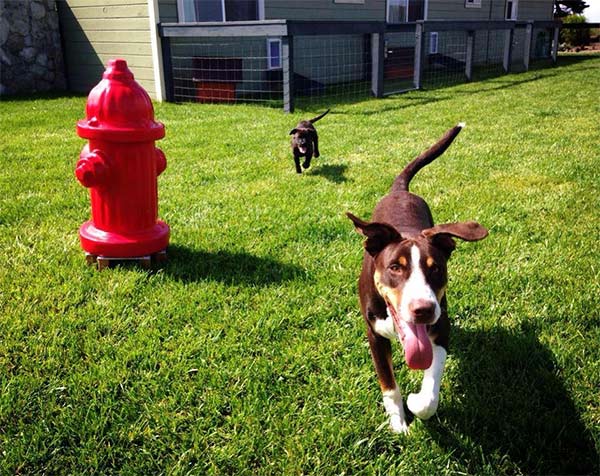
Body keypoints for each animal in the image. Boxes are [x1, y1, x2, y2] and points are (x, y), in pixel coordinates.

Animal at [346, 123, 488, 436]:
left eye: (435, 269)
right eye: (395, 268)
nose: (423, 309)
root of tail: (400, 190)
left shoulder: (441, 328)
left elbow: (431, 389)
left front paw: (416, 401)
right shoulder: (374, 334)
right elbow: (389, 386)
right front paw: (398, 422)